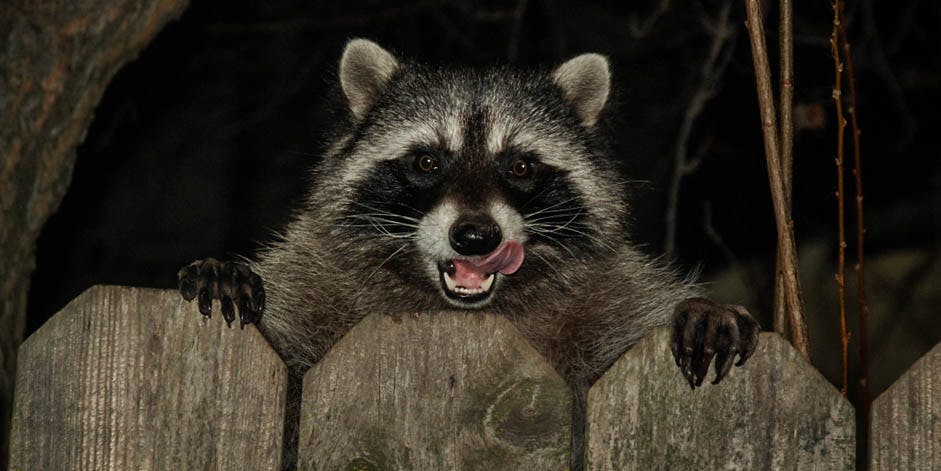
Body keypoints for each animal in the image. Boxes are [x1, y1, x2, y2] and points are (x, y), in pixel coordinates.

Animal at [180, 37, 760, 471]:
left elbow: (635, 318)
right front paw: (231, 273)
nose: (476, 238)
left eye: (520, 166)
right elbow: (289, 344)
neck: (458, 311)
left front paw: (700, 309)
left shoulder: (604, 292)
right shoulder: (320, 274)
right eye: (427, 162)